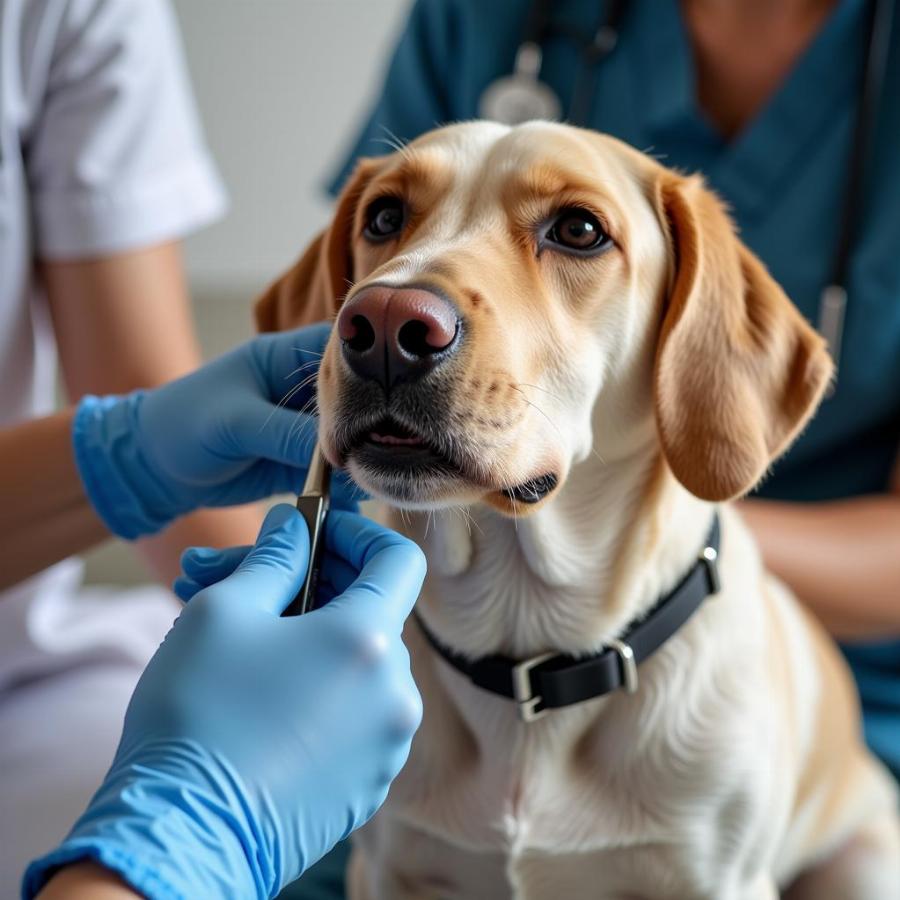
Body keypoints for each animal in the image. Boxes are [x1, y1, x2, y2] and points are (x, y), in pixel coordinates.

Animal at [255, 121, 900, 900]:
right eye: (383, 217)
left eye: (579, 230)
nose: (382, 322)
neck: (530, 650)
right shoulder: (386, 869)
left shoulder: (725, 881)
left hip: (865, 865)